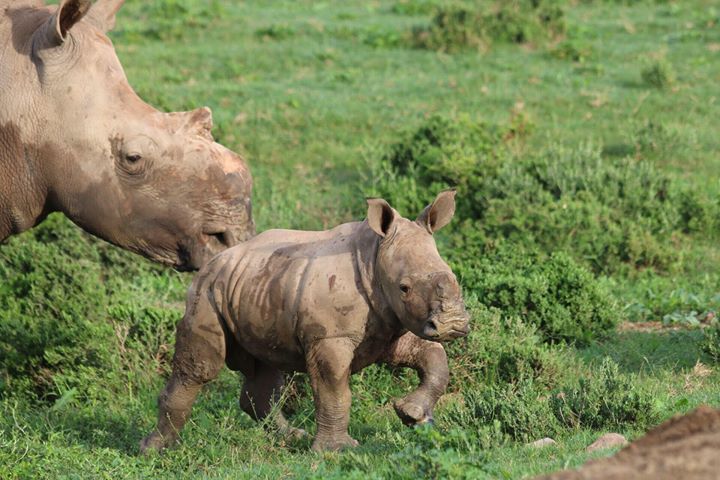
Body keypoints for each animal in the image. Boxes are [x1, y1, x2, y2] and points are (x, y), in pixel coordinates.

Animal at [141, 189, 472, 452]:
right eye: (404, 287)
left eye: (453, 275)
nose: (453, 325)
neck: (373, 257)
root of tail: (214, 261)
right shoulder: (330, 338)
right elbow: (334, 390)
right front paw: (336, 451)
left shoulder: (389, 326)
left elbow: (434, 358)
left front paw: (411, 415)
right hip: (208, 291)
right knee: (199, 369)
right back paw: (155, 450)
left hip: (257, 285)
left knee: (265, 369)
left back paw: (292, 438)